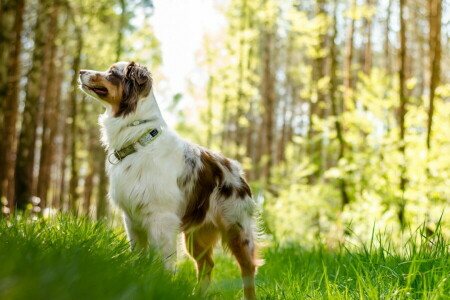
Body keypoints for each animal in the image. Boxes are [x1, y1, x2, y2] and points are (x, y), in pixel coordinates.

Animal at [78, 62, 260, 298]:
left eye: (112, 72)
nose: (81, 71)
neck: (138, 139)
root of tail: (237, 170)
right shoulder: (132, 219)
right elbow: (138, 257)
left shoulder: (161, 220)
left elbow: (162, 263)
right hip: (196, 236)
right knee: (207, 265)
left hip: (236, 229)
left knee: (248, 268)